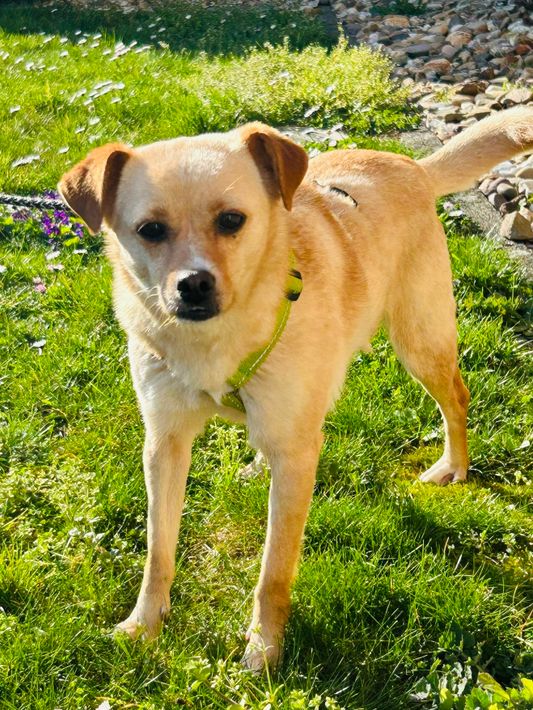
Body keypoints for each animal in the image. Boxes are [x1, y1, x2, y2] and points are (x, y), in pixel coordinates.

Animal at [58, 106, 533, 671]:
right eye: (150, 230)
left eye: (232, 220)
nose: (193, 285)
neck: (217, 342)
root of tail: (412, 167)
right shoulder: (165, 445)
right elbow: (159, 550)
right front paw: (145, 623)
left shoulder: (294, 459)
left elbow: (274, 571)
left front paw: (264, 646)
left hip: (420, 343)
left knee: (456, 399)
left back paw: (453, 465)